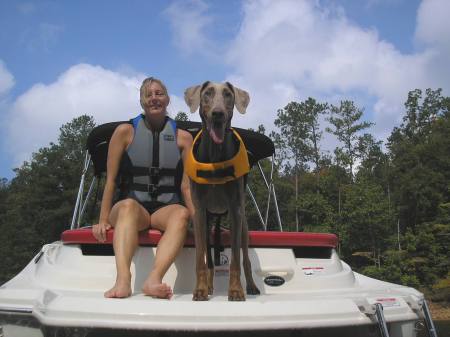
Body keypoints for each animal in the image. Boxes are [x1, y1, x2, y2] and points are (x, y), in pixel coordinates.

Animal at [184, 80, 260, 300]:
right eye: (207, 93)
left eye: (227, 94)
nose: (218, 113)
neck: (215, 157)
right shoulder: (199, 211)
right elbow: (201, 259)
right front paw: (201, 289)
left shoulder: (235, 211)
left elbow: (235, 259)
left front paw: (235, 290)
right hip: (208, 221)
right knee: (210, 259)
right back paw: (209, 286)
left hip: (243, 226)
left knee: (245, 258)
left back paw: (251, 286)